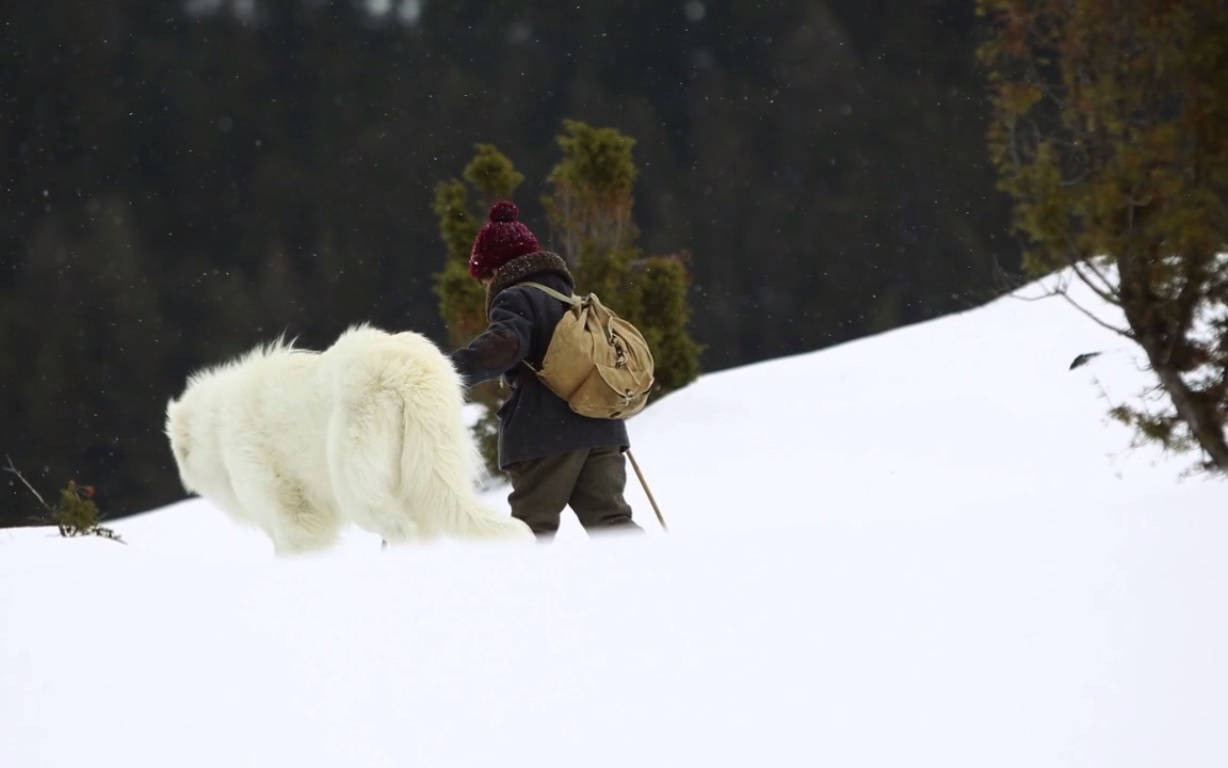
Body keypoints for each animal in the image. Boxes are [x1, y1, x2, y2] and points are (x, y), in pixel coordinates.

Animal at [162, 321, 528, 550]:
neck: (216, 428)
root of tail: (405, 371)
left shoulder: (288, 512)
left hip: (355, 480)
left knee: (400, 526)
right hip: (432, 462)